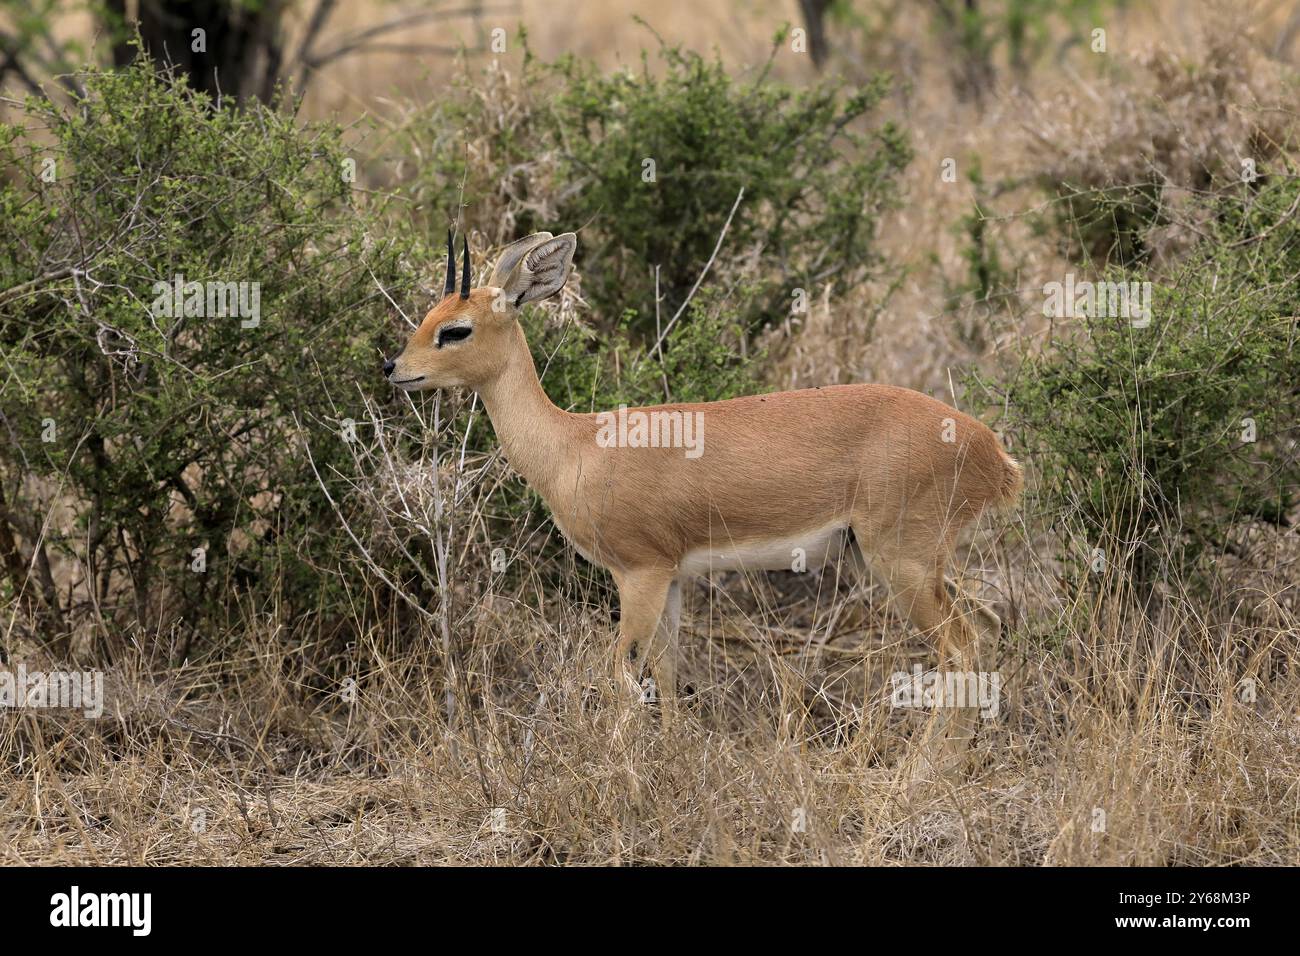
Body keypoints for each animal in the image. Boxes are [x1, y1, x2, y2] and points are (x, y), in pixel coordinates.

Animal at [387, 231, 1024, 780]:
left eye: (456, 329)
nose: (394, 369)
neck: (577, 446)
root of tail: (990, 449)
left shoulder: (639, 573)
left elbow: (620, 674)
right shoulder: (670, 579)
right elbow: (666, 673)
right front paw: (673, 756)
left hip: (901, 563)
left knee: (960, 646)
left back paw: (923, 770)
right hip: (904, 561)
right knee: (987, 624)